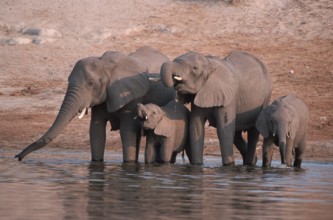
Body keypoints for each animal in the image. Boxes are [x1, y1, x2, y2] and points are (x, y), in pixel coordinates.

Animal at [14, 46, 176, 162]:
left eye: (91, 83)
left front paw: (128, 164)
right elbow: (96, 130)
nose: (18, 157)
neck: (104, 64)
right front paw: (96, 163)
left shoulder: (132, 95)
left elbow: (126, 131)